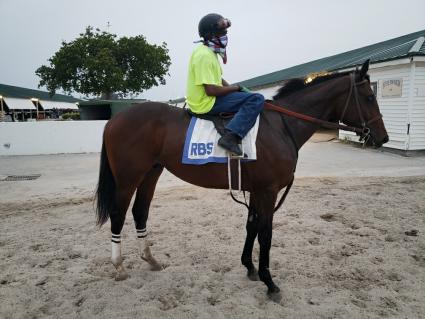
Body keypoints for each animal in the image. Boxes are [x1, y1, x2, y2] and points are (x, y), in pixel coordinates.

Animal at [96, 60, 388, 302]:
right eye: (369, 96)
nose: (382, 137)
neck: (281, 126)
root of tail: (114, 120)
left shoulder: (257, 190)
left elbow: (252, 227)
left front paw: (249, 266)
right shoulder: (268, 191)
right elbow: (266, 233)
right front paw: (270, 283)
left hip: (151, 173)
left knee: (140, 212)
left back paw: (150, 259)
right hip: (128, 178)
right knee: (118, 215)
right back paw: (119, 266)